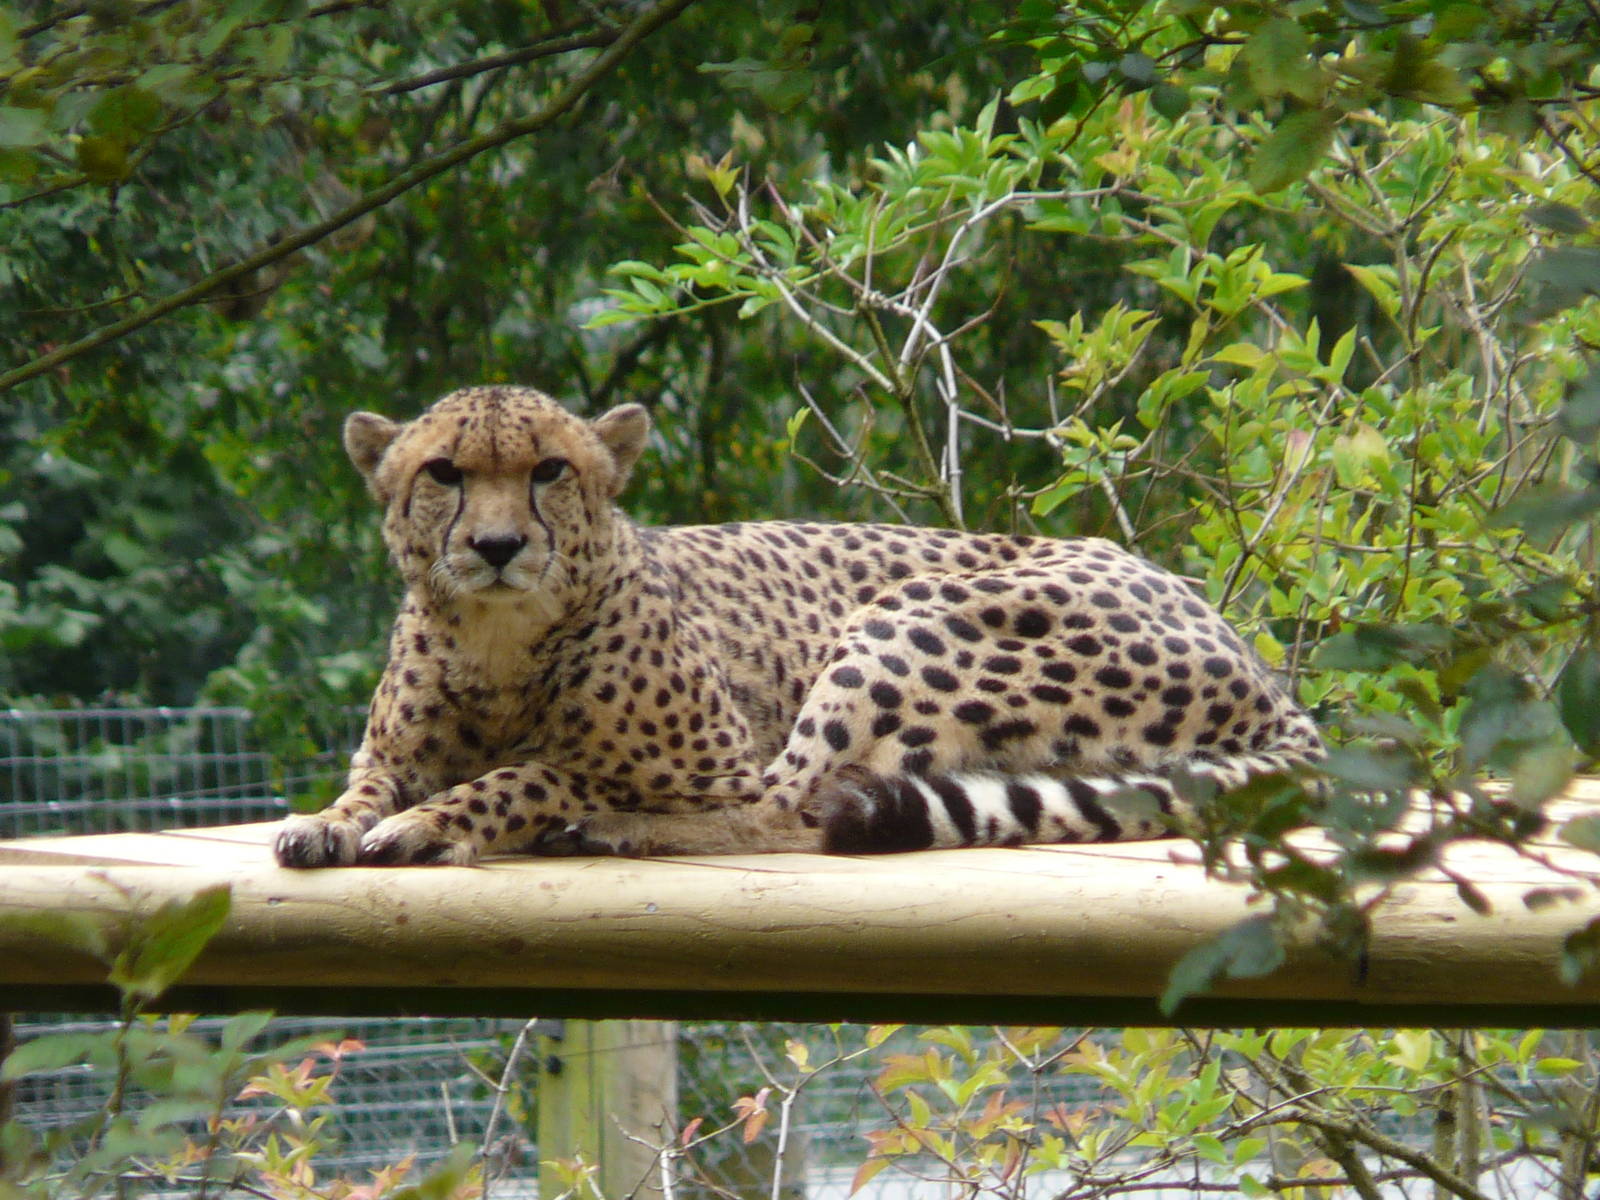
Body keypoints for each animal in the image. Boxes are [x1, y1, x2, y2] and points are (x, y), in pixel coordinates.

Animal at [273, 385, 1325, 869]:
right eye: (443, 474)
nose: (496, 546)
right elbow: (368, 785)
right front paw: (325, 823)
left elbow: (540, 770)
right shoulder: (391, 750)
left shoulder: (714, 764)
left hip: (910, 616)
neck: (501, 639)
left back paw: (610, 830)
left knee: (795, 808)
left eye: (550, 471)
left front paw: (441, 820)